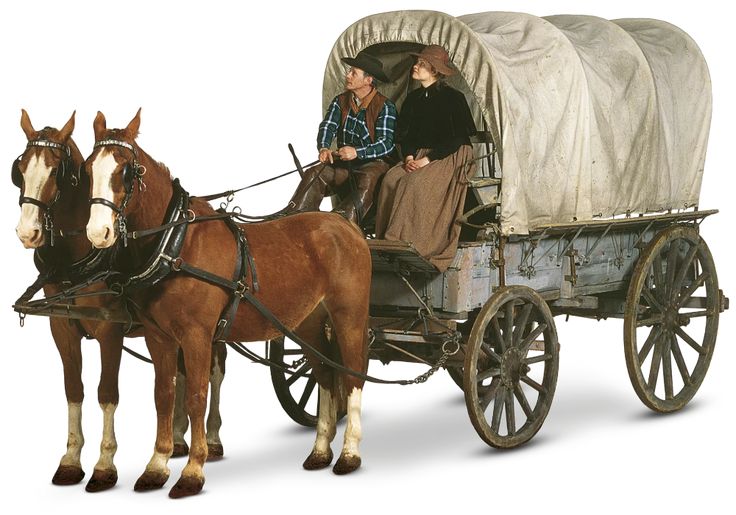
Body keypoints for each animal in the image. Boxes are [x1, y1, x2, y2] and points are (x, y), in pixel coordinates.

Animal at [12, 110, 227, 492]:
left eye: (56, 171)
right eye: (19, 169)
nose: (28, 232)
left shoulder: (109, 331)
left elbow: (106, 393)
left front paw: (103, 465)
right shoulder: (61, 328)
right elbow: (74, 390)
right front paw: (70, 460)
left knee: (214, 372)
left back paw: (211, 440)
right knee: (181, 373)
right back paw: (177, 439)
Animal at [85, 110, 374, 500]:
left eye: (127, 171)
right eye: (88, 168)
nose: (97, 233)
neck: (176, 244)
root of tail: (346, 225)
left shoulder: (197, 336)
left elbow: (195, 396)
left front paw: (192, 471)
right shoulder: (158, 337)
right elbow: (164, 396)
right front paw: (157, 466)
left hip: (349, 316)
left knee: (353, 373)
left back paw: (349, 452)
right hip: (309, 323)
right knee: (326, 374)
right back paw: (319, 450)